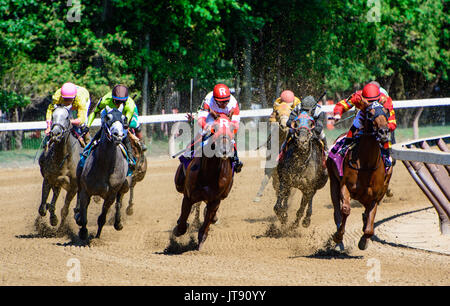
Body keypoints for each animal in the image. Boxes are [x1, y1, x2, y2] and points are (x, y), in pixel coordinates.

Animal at [75, 106, 131, 240]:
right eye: (108, 118)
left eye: (124, 119)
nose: (118, 135)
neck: (105, 166)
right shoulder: (86, 191)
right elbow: (83, 214)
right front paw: (83, 231)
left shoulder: (111, 194)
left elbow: (102, 217)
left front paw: (97, 237)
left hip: (125, 185)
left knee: (119, 202)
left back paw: (118, 223)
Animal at [172, 113, 236, 250]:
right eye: (214, 128)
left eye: (233, 128)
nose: (225, 150)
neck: (209, 172)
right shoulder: (189, 196)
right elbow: (182, 223)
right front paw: (178, 229)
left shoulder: (215, 200)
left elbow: (207, 222)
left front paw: (201, 241)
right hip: (179, 183)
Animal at [326, 101, 394, 250]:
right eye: (369, 113)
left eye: (386, 112)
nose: (383, 132)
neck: (366, 165)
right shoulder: (345, 186)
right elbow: (345, 210)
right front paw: (338, 236)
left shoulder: (375, 196)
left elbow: (369, 226)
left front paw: (364, 240)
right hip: (333, 182)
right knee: (337, 211)